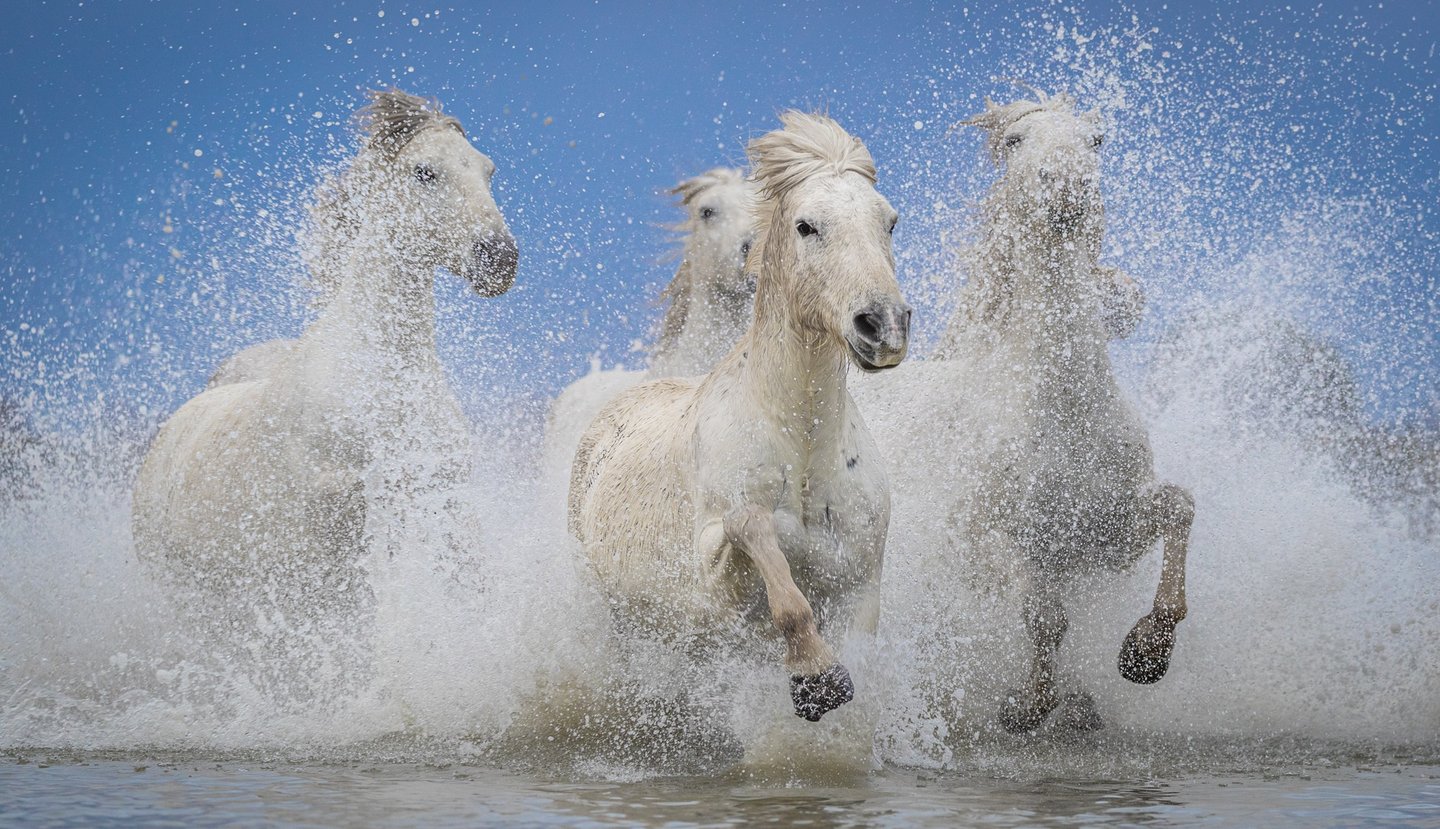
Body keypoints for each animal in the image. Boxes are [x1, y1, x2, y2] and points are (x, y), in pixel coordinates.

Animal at [133, 89, 518, 623]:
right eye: (424, 171)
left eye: (488, 170)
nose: (498, 259)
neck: (384, 373)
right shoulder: (332, 496)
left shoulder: (447, 490)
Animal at [568, 112, 910, 722]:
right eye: (806, 226)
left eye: (889, 221)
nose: (884, 324)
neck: (802, 448)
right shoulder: (710, 584)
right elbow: (752, 527)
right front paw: (815, 678)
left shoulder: (861, 587)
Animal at [859, 91, 1192, 734]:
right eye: (1015, 141)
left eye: (1096, 141)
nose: (1065, 186)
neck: (1062, 412)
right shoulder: (982, 545)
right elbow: (1044, 614)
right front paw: (1024, 706)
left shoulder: (1107, 536)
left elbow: (1178, 508)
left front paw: (1146, 653)